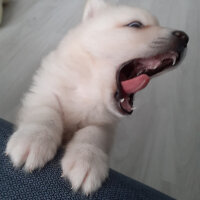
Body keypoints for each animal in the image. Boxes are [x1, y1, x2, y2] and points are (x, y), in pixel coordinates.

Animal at [5, 0, 188, 195]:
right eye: (135, 25)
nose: (185, 37)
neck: (91, 86)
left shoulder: (105, 124)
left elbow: (92, 134)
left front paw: (87, 160)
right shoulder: (44, 91)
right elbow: (46, 112)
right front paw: (34, 139)